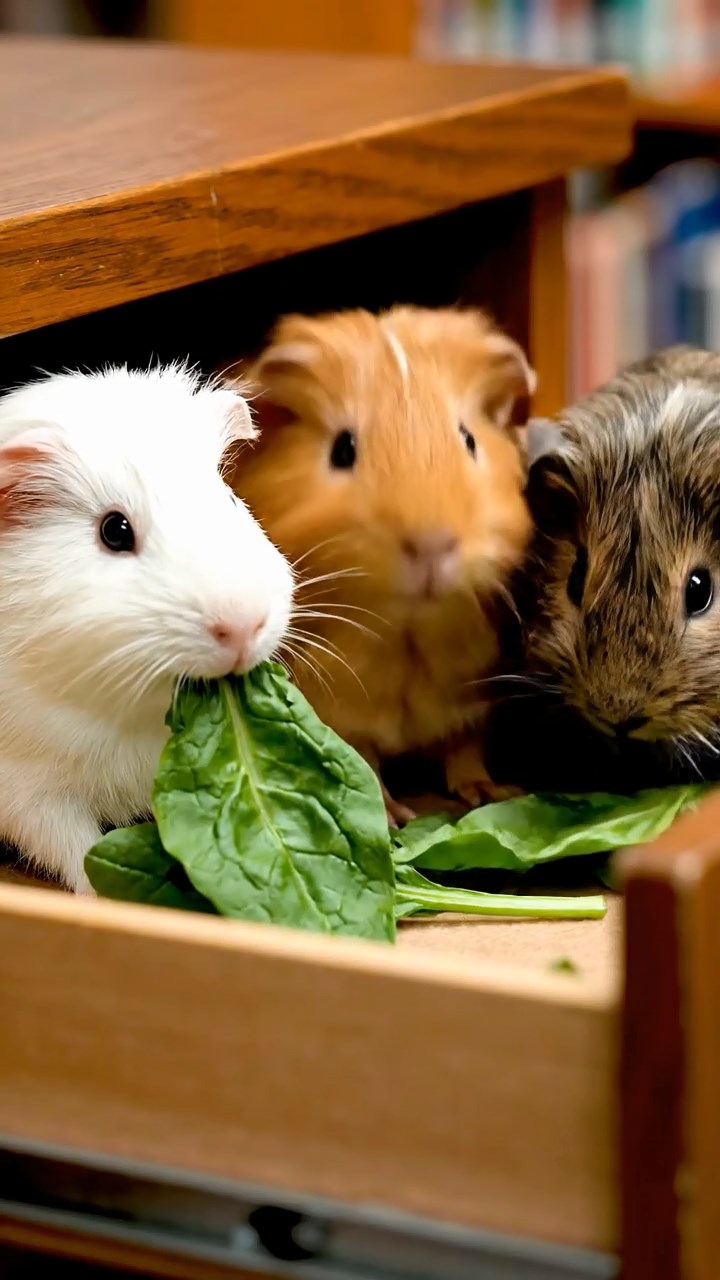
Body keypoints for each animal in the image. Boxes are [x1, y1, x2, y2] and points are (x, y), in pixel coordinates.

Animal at [229, 304, 536, 821]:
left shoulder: (470, 698)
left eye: (469, 439)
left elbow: (463, 748)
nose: (431, 545)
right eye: (342, 449)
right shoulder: (340, 707)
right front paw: (395, 817)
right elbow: (364, 762)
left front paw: (486, 794)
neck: (407, 637)